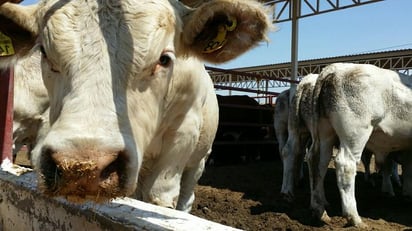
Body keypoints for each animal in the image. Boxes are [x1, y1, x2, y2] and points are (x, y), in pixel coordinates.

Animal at [0, 0, 272, 211]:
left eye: (165, 59)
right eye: (45, 53)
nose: (83, 168)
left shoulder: (184, 134)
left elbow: (159, 195)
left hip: (199, 159)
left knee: (186, 196)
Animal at [308, 62, 412, 227]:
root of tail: (334, 68)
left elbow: (407, 169)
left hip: (324, 133)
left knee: (317, 162)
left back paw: (319, 210)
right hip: (356, 133)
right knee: (346, 165)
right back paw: (354, 218)